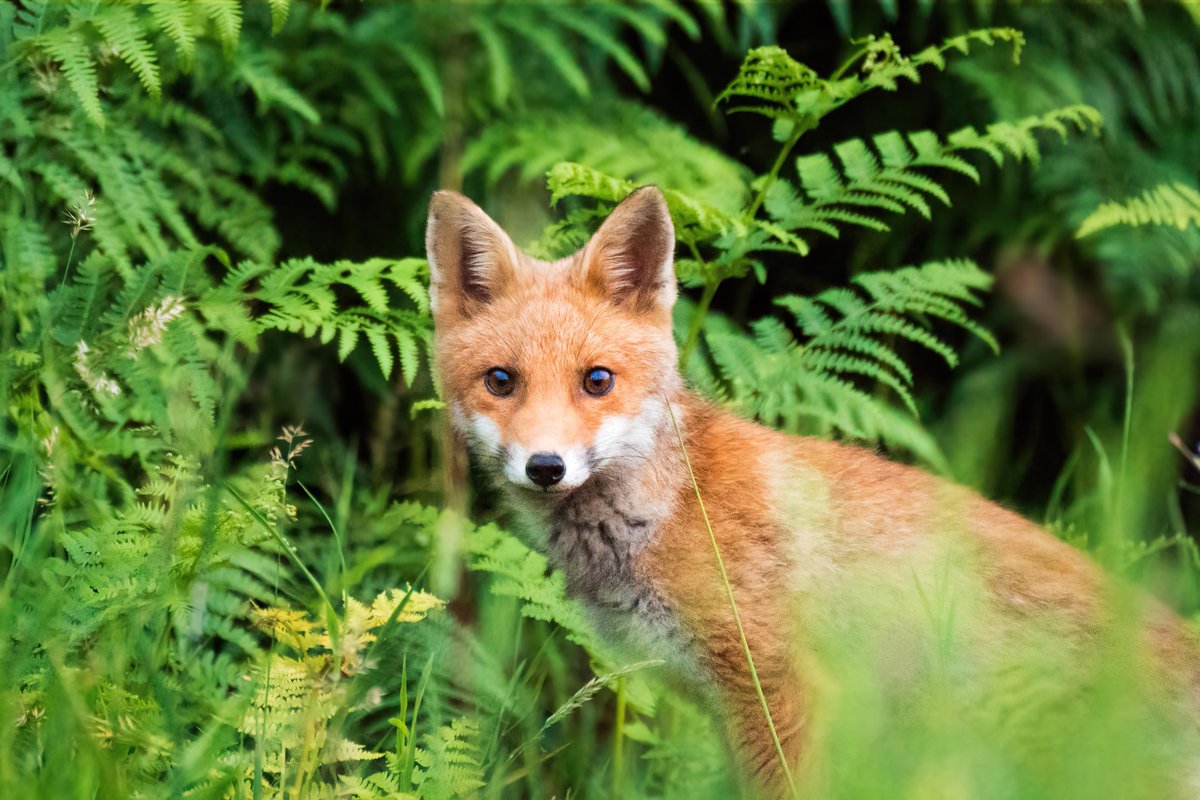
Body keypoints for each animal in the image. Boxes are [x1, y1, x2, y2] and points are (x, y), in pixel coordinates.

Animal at [424, 188, 1200, 796]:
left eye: (597, 381)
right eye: (501, 382)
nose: (545, 466)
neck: (670, 514)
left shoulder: (781, 690)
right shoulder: (725, 705)